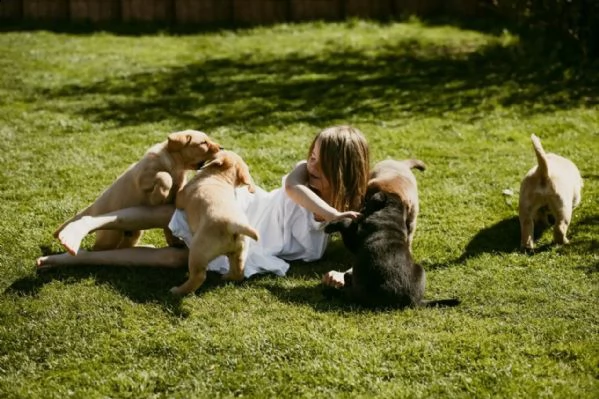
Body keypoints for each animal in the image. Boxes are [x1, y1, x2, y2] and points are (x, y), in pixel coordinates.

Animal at [171, 150, 260, 296]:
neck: (220, 177)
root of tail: (232, 225)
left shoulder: (180, 198)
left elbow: (179, 192)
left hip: (197, 251)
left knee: (198, 276)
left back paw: (178, 290)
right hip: (239, 251)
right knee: (239, 271)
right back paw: (226, 276)